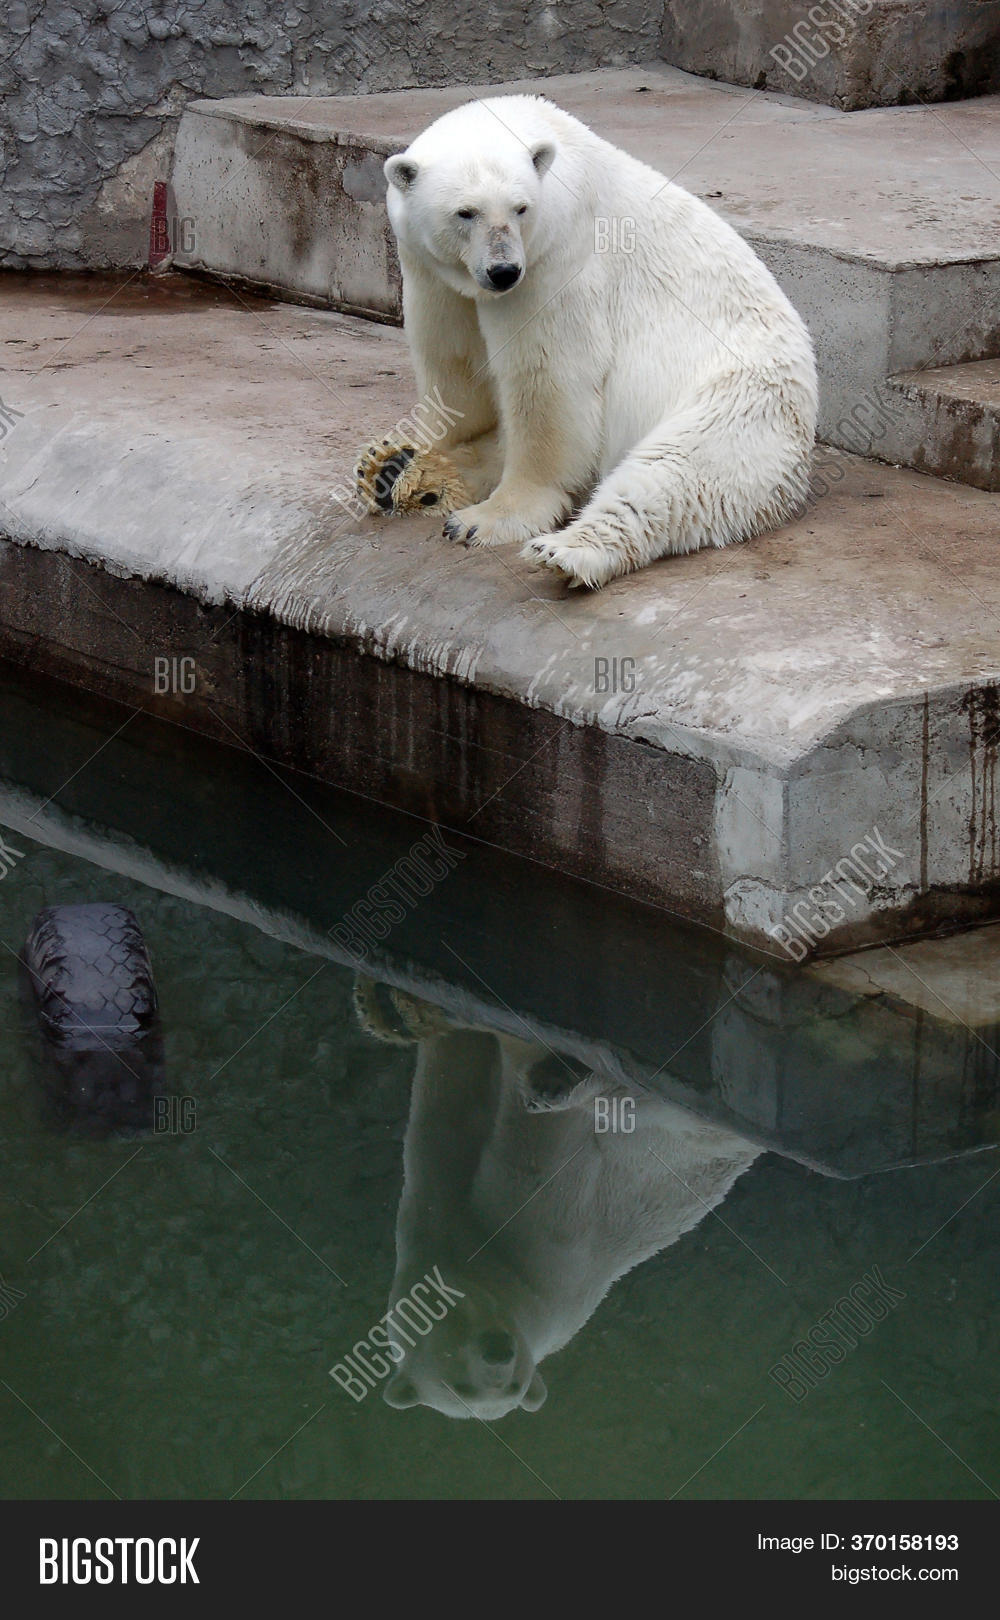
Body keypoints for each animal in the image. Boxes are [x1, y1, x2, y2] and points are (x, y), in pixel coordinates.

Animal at [353, 979, 762, 1421]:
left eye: (513, 1385)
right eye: (458, 1383)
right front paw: (391, 1009)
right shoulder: (438, 1183)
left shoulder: (550, 1241)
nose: (497, 1351)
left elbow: (535, 1139)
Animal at [355, 94, 818, 589]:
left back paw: (566, 551)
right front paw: (432, 450)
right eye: (466, 212)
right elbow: (453, 360)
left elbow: (548, 379)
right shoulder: (429, 269)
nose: (504, 271)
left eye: (520, 208)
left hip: (739, 401)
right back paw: (397, 469)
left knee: (673, 476)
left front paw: (489, 519)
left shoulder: (556, 258)